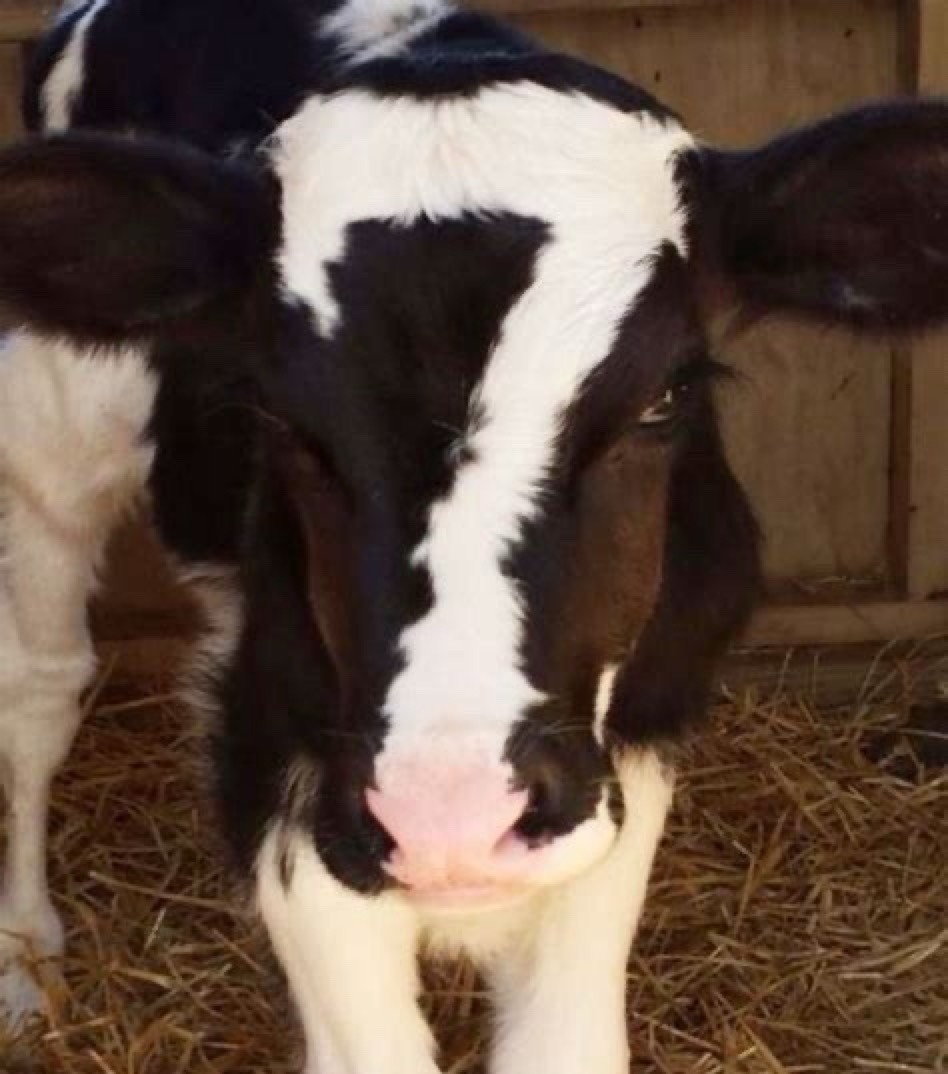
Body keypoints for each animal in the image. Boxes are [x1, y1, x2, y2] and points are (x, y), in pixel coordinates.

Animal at [0, 1, 946, 1071]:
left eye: (664, 398)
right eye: (280, 416)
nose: (445, 815)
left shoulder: (626, 758)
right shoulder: (277, 755)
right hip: (51, 427)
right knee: (40, 687)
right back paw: (27, 963)